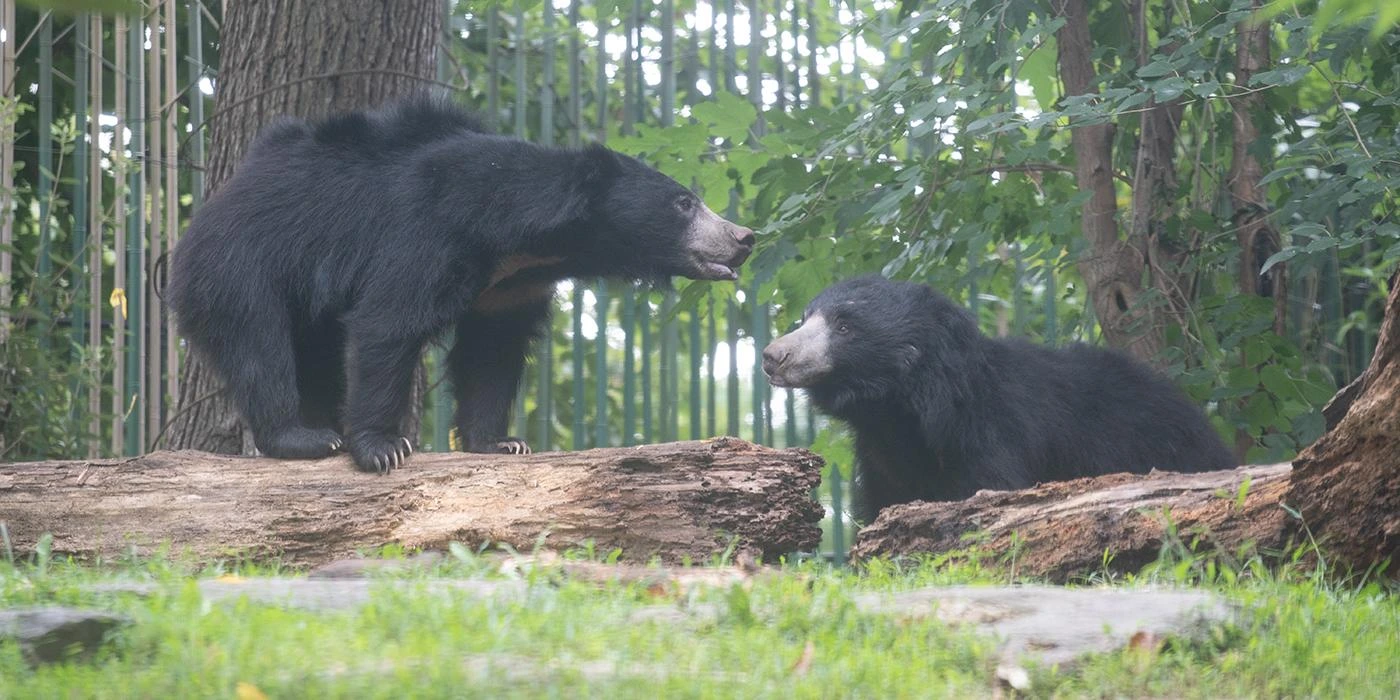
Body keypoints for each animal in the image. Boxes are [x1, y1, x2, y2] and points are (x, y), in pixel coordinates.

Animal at [168, 97, 756, 470]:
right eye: (684, 203)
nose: (744, 237)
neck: (530, 241)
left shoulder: (510, 284)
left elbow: (491, 352)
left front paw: (500, 443)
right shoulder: (430, 229)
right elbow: (388, 321)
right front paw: (382, 449)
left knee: (316, 353)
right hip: (242, 263)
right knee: (258, 342)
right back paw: (303, 437)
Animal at [767, 275, 1237, 523]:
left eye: (845, 326)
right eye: (807, 318)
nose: (773, 356)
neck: (905, 410)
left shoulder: (996, 434)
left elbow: (992, 486)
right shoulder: (882, 456)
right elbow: (888, 499)